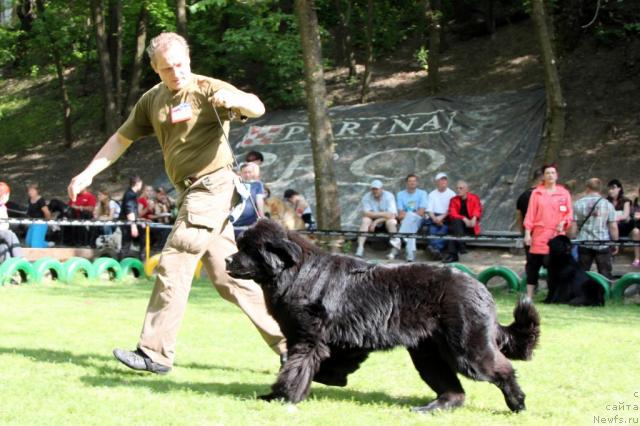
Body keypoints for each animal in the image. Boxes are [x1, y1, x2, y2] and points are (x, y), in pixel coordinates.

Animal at [225, 220, 540, 412]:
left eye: (247, 249)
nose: (227, 259)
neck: (294, 272)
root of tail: (480, 288)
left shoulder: (307, 338)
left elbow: (295, 368)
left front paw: (283, 396)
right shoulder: (337, 339)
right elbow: (325, 363)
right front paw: (333, 378)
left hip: (466, 348)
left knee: (501, 369)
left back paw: (518, 403)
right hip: (428, 354)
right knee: (453, 390)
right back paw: (430, 409)